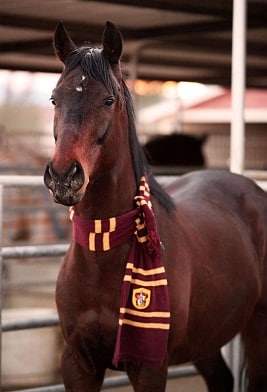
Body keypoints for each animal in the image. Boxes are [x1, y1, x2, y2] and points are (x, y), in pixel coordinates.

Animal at [43, 21, 267, 392]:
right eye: (54, 98)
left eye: (108, 100)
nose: (63, 176)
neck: (102, 253)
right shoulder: (77, 364)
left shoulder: (150, 367)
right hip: (206, 337)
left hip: (257, 327)